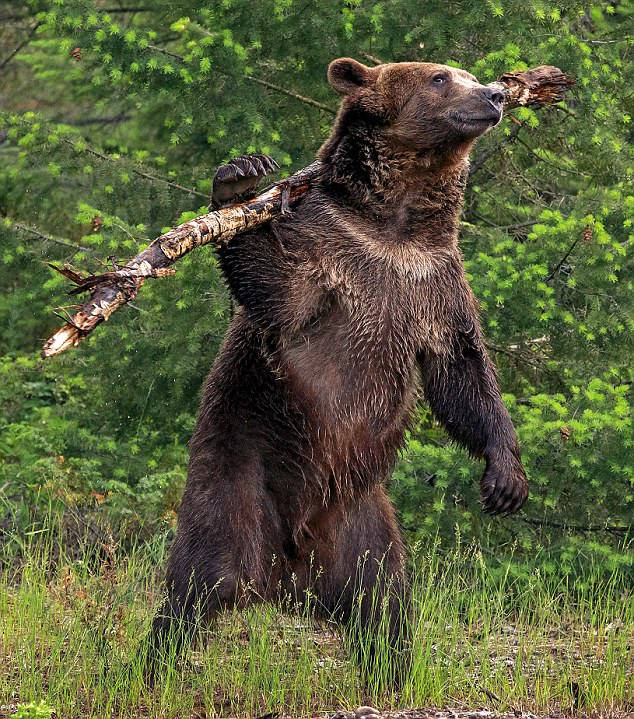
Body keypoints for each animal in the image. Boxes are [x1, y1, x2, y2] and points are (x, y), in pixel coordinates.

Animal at [148, 59, 528, 676]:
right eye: (440, 78)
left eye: (466, 74)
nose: (495, 94)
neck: (396, 223)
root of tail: (285, 576)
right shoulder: (328, 251)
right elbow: (281, 292)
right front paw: (238, 179)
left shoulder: (434, 281)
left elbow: (463, 373)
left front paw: (505, 478)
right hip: (236, 478)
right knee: (201, 583)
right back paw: (155, 665)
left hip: (361, 521)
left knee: (384, 603)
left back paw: (394, 672)